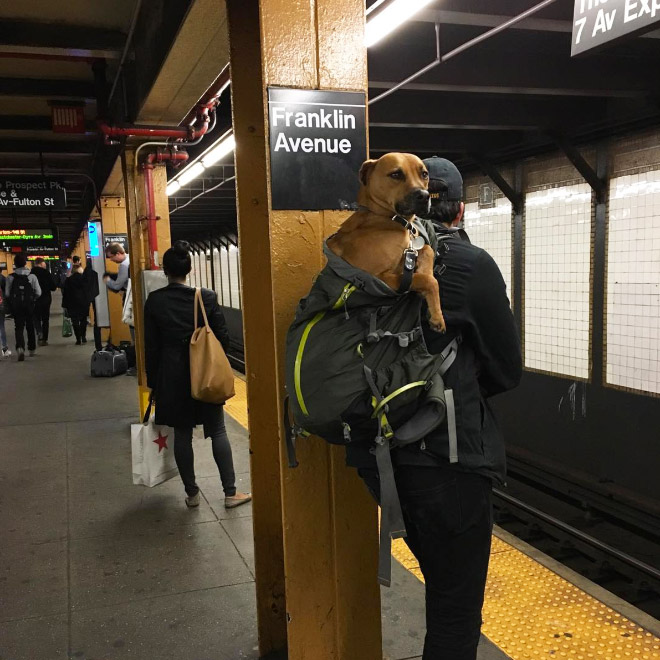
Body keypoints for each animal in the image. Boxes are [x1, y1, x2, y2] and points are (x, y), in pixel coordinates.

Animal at [328, 152, 446, 332]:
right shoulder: (380, 278)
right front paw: (438, 317)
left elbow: (427, 249)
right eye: (396, 174)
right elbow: (428, 280)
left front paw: (426, 270)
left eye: (424, 174)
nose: (425, 196)